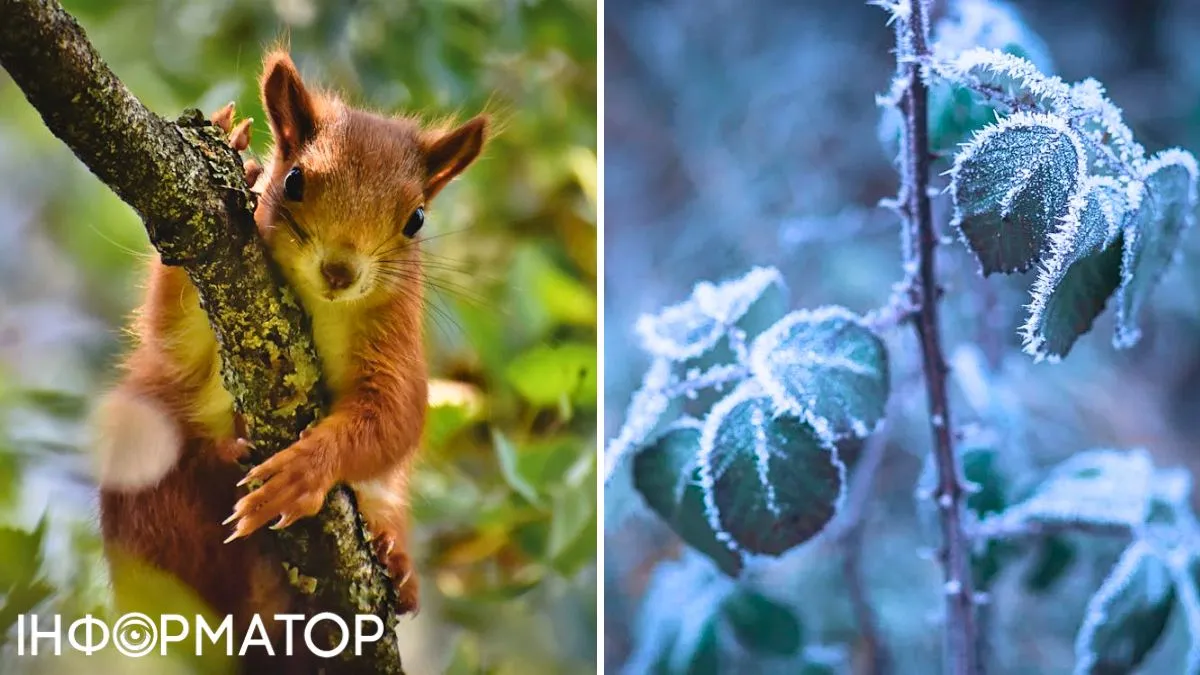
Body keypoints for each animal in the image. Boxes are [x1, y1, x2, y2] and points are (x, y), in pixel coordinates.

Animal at [90, 51, 487, 624]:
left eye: (415, 219)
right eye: (294, 180)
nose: (340, 271)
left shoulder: (394, 342)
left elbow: (394, 417)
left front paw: (303, 471)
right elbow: (170, 335)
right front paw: (237, 150)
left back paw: (394, 558)